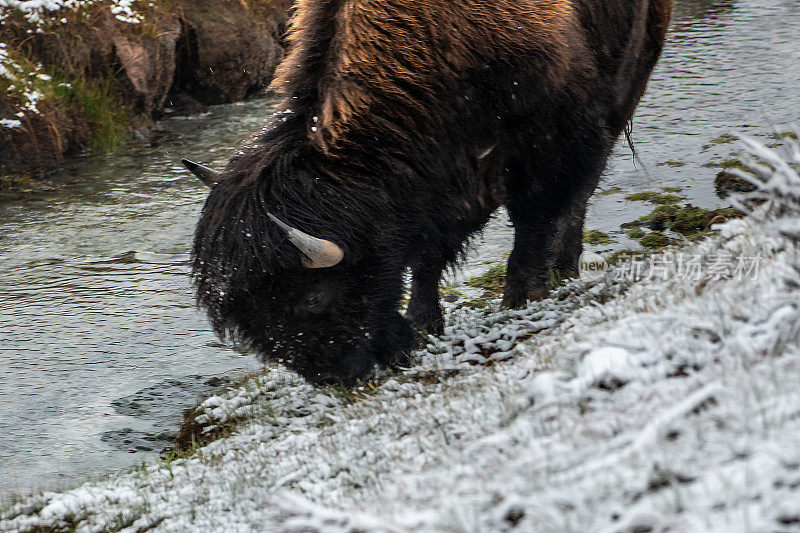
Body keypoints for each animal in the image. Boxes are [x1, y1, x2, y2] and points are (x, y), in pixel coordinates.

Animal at [184, 0, 672, 382]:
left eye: (314, 296)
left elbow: (536, 217)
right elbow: (426, 254)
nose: (338, 377)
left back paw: (565, 270)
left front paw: (522, 296)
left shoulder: (552, 139)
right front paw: (423, 326)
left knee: (577, 201)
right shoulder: (433, 184)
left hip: (624, 91)